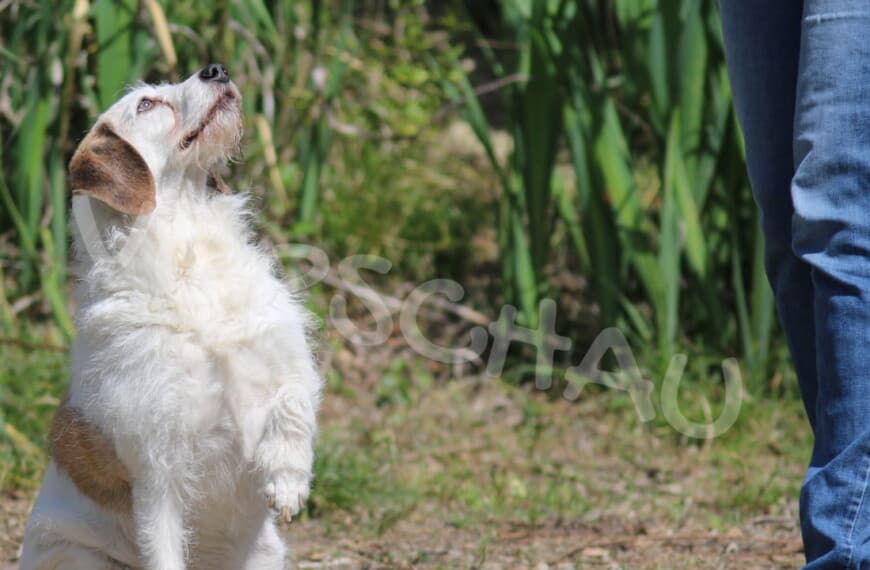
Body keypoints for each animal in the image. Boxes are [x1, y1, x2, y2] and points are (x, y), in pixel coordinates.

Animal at [19, 64, 324, 564]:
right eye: (147, 104)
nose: (216, 68)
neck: (189, 241)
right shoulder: (159, 471)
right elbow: (162, 546)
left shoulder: (283, 356)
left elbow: (294, 400)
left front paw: (288, 480)